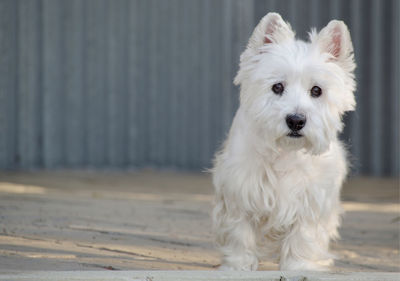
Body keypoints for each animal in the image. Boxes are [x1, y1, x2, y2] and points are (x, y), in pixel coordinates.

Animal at [212, 12, 356, 270]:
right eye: (277, 87)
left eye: (317, 90)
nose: (296, 120)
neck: (285, 151)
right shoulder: (239, 191)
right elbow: (240, 233)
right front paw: (238, 266)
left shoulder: (311, 200)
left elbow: (303, 236)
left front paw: (299, 267)